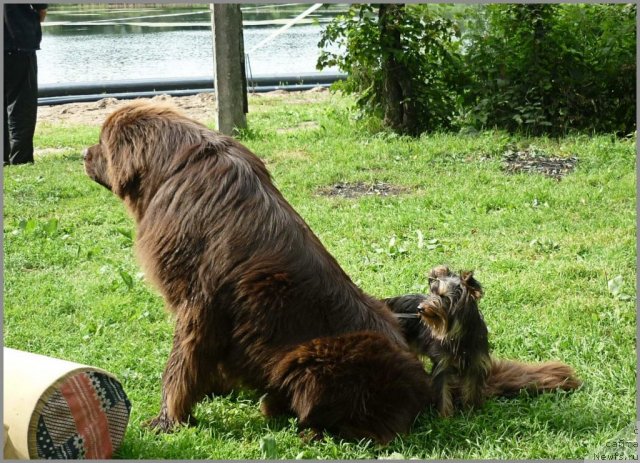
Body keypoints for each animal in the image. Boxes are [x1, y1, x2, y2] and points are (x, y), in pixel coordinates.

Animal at [84, 102, 430, 446]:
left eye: (101, 143)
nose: (83, 154)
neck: (173, 169)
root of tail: (423, 388)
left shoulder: (197, 303)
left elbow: (178, 366)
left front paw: (167, 420)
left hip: (316, 358)